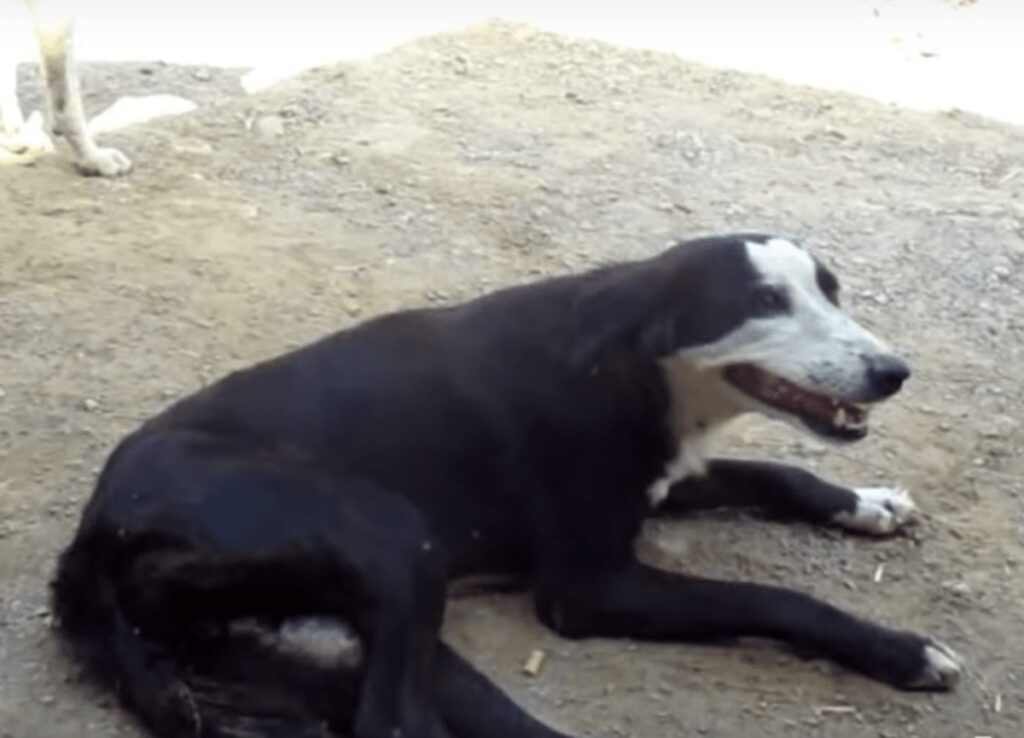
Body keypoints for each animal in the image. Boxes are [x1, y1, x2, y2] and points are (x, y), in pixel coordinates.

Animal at [49, 233, 958, 736]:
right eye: (764, 301)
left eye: (831, 291)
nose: (894, 372)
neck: (634, 362)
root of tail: (92, 536)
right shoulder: (590, 587)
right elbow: (771, 600)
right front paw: (899, 649)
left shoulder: (663, 482)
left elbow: (778, 474)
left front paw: (866, 504)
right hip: (395, 534)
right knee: (390, 726)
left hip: (362, 637)